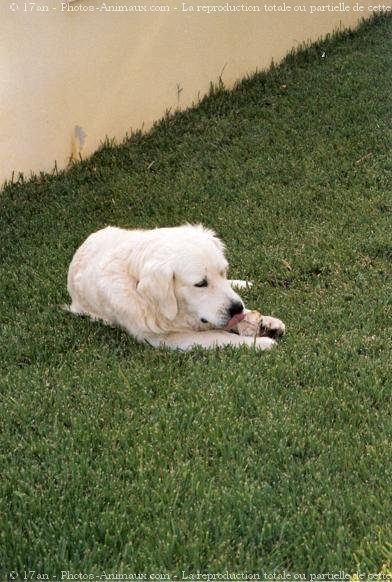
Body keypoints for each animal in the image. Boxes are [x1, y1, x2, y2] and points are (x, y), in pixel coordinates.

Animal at [68, 224, 284, 352]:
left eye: (223, 272)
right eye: (200, 284)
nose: (237, 308)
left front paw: (265, 323)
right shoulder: (168, 338)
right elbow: (220, 335)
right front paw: (260, 343)